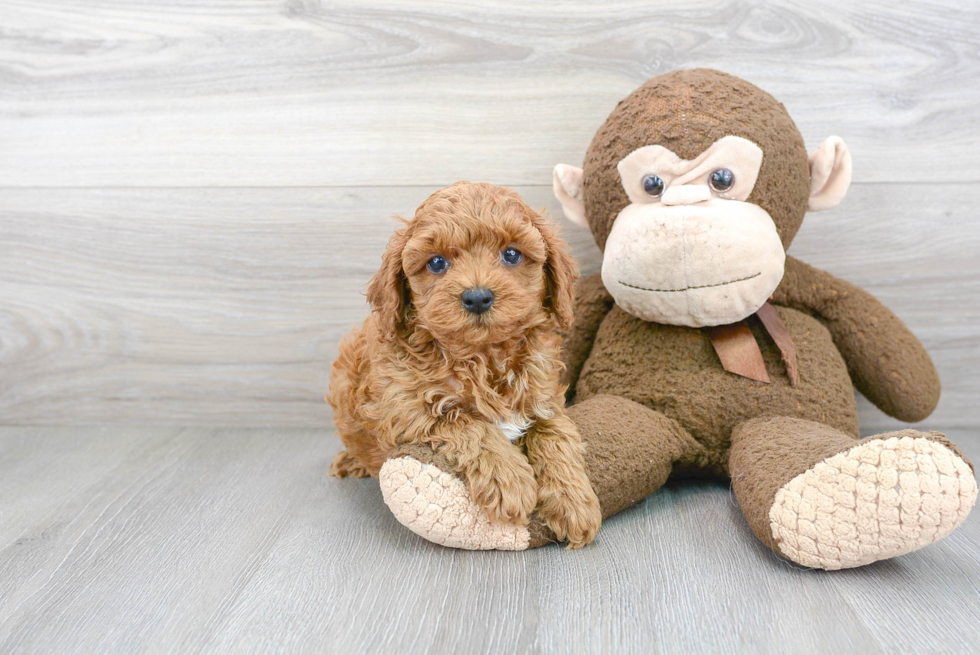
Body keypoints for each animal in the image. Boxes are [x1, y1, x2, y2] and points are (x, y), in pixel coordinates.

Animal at [330, 179, 600, 548]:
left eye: (511, 254)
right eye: (436, 263)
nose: (477, 297)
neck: (483, 357)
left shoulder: (545, 400)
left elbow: (556, 436)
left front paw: (574, 502)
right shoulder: (406, 410)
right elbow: (470, 424)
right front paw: (510, 481)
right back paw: (350, 462)